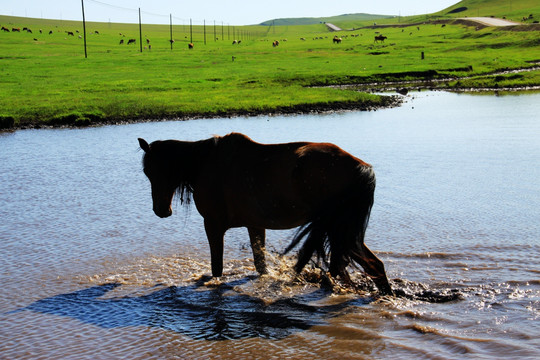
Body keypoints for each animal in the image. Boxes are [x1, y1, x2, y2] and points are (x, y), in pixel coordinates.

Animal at [138, 134, 392, 294]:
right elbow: (260, 265)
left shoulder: (213, 224)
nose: (161, 210)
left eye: (151, 170)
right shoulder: (255, 224)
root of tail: (362, 168)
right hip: (343, 230)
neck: (204, 164)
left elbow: (217, 268)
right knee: (373, 266)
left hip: (337, 228)